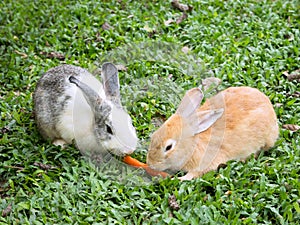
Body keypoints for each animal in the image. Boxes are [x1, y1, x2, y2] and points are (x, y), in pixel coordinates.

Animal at [146, 85, 278, 179]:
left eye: (168, 147)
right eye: (153, 136)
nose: (150, 164)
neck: (193, 145)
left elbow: (194, 174)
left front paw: (179, 179)